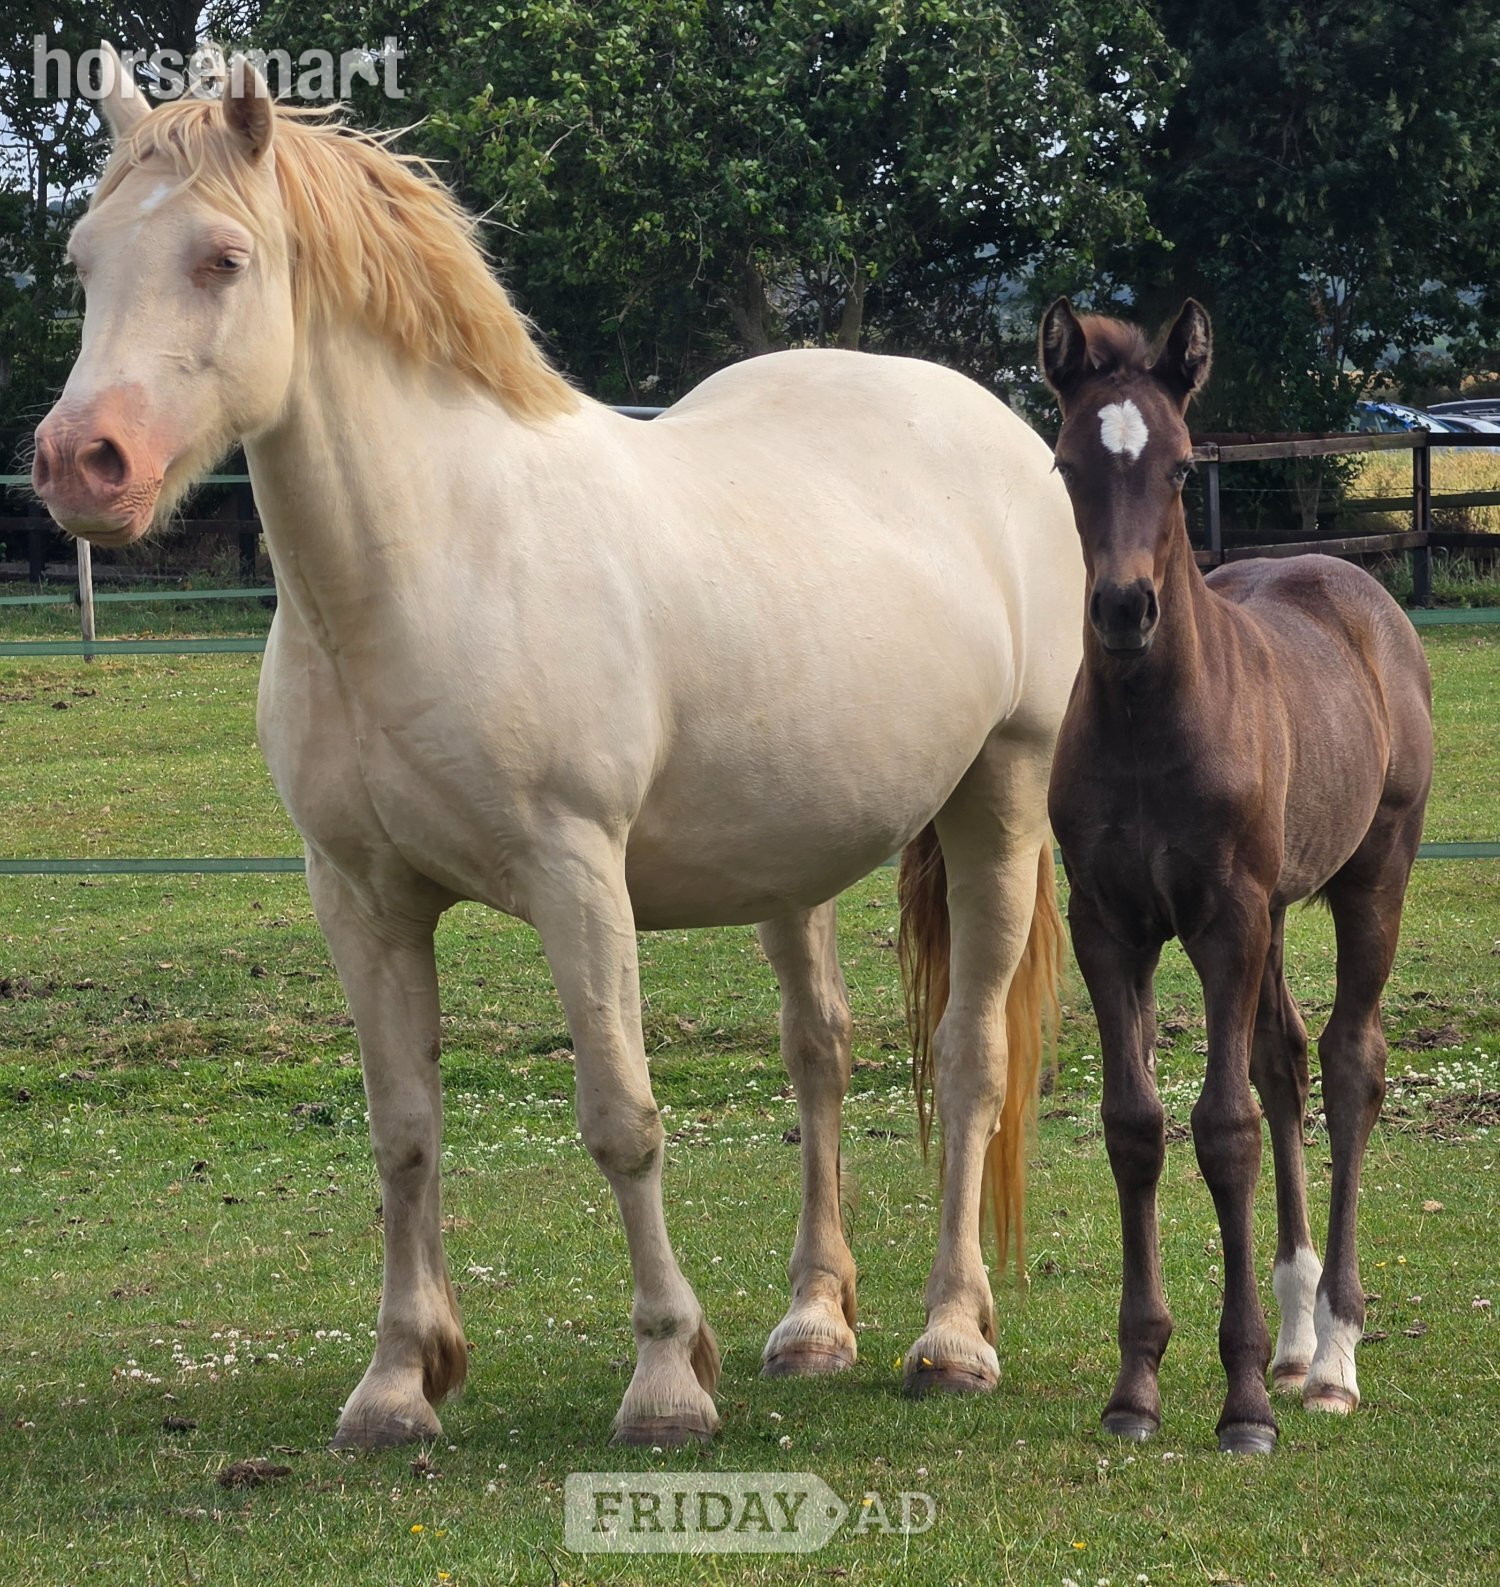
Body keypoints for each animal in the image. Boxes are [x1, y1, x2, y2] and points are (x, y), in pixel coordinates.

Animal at [33, 48, 1084, 1448]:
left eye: (223, 258)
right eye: (83, 260)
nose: (79, 464)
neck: (429, 564)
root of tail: (992, 424)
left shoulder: (576, 878)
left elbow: (622, 1121)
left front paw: (665, 1380)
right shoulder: (360, 897)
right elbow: (403, 1132)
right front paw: (398, 1383)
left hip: (999, 798)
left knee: (969, 1060)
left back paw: (953, 1338)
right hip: (793, 861)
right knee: (821, 1056)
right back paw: (812, 1325)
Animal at [1039, 298, 1433, 1454]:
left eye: (1179, 467)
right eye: (1068, 463)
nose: (1125, 609)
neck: (1149, 723)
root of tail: (1353, 583)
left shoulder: (1224, 921)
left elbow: (1224, 1130)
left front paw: (1245, 1401)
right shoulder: (1109, 926)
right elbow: (1136, 1128)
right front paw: (1137, 1386)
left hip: (1369, 876)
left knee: (1349, 1064)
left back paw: (1335, 1354)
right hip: (1280, 909)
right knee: (1286, 1059)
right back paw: (1302, 1336)